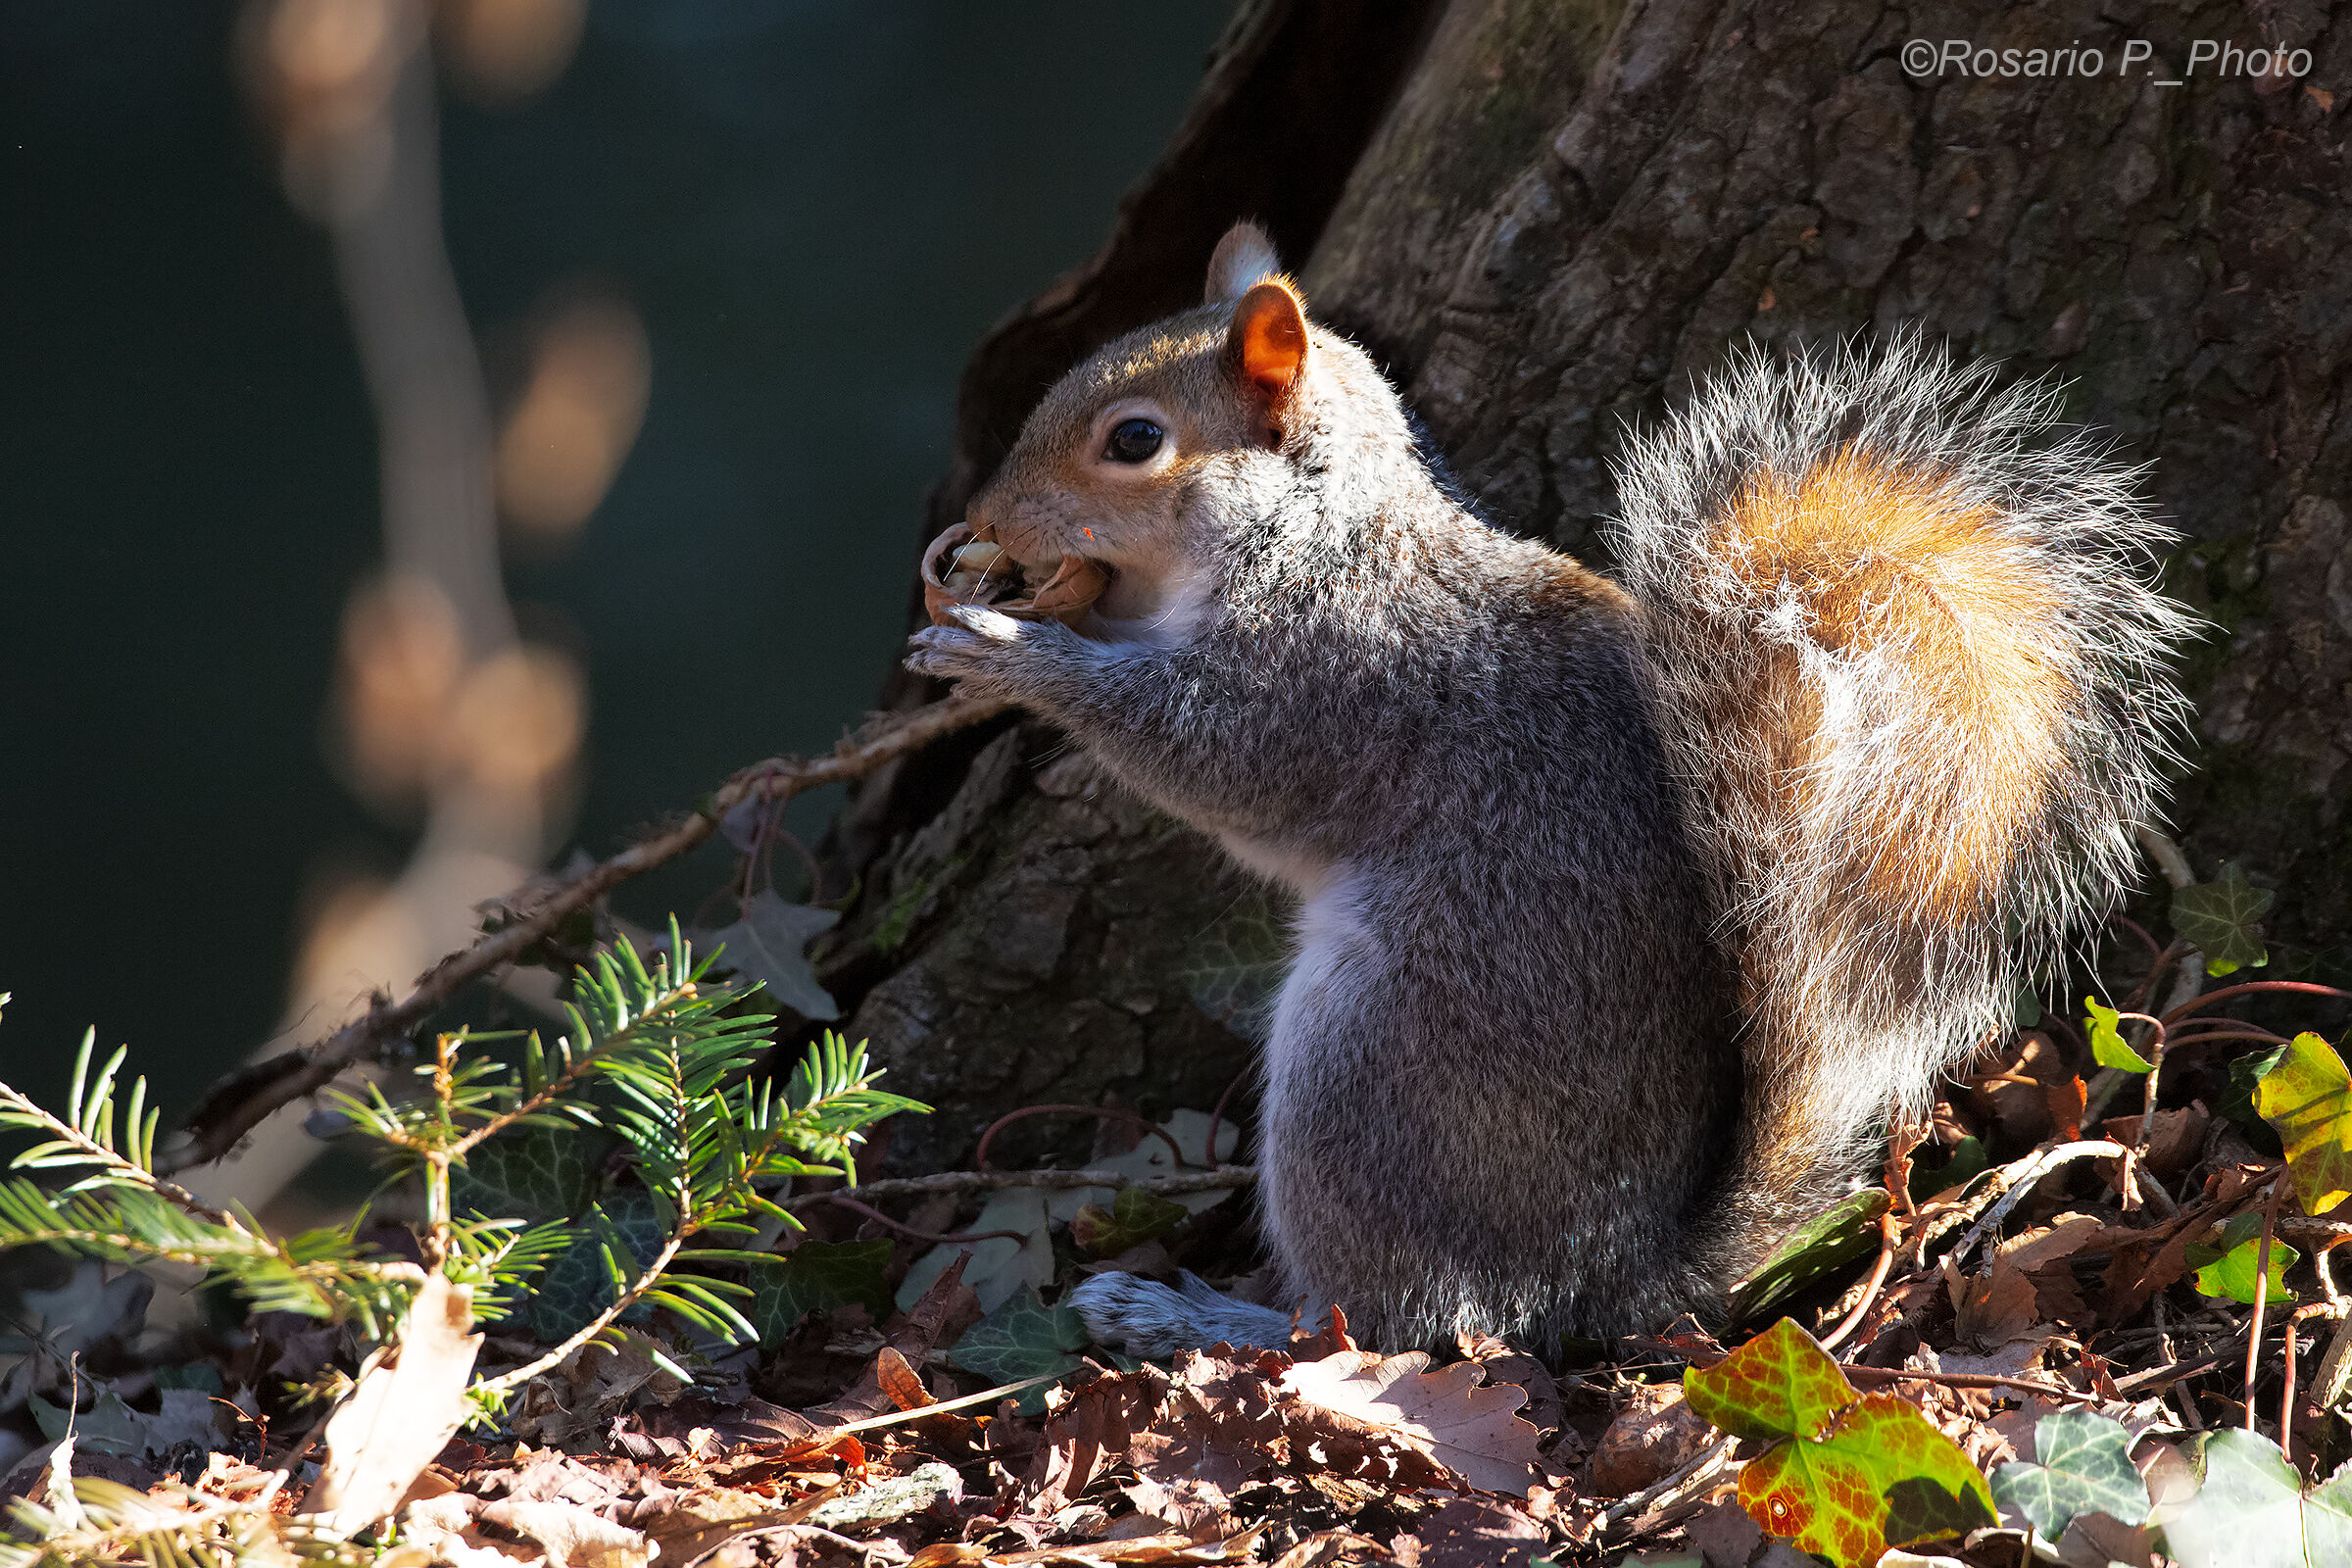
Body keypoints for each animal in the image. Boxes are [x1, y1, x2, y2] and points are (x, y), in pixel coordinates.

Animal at [905, 221, 2193, 1356]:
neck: (1320, 526)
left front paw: (1014, 656)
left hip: (1371, 1073)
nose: (981, 520)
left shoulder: (1330, 669)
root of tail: (1609, 1285)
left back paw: (1193, 1318)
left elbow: (1210, 758)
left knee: (1398, 1323)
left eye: (1134, 438)